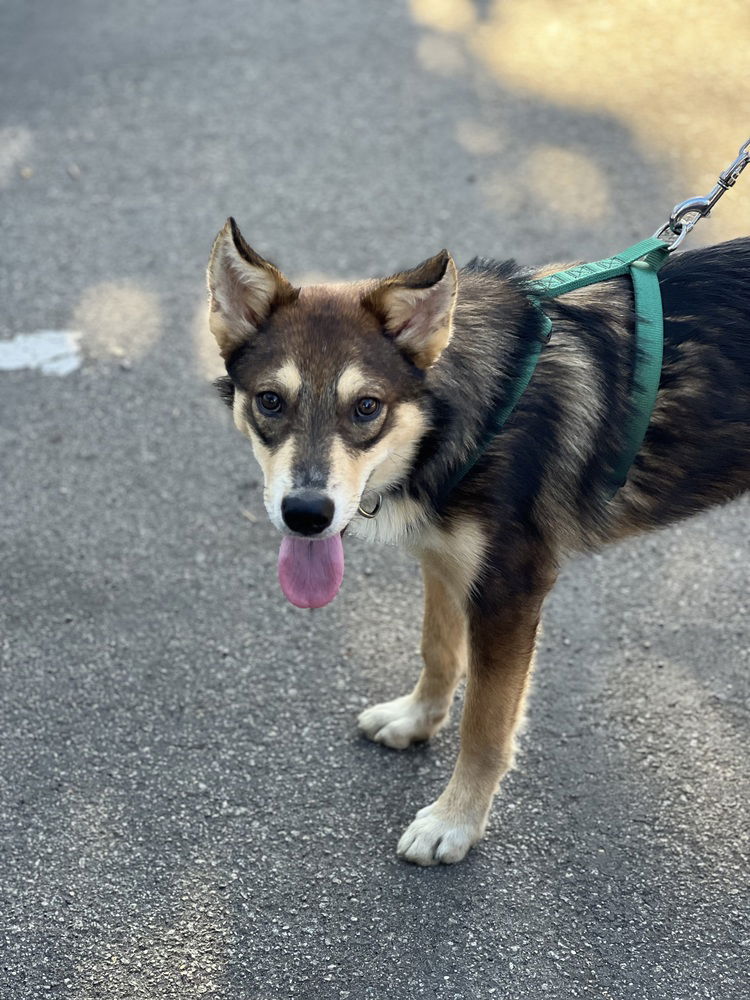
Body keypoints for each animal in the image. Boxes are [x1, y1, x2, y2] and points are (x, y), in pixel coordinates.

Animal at [206, 221, 750, 868]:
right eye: (270, 400)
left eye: (367, 407)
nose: (307, 515)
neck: (476, 413)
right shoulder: (445, 562)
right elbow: (439, 652)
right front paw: (418, 719)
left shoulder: (510, 592)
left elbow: (486, 725)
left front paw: (455, 820)